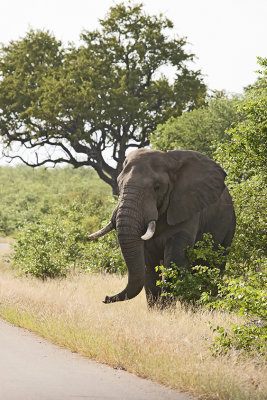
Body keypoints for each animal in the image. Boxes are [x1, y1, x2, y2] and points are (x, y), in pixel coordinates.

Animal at [90, 149, 237, 306]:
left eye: (157, 187)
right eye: (119, 184)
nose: (106, 298)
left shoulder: (186, 208)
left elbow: (174, 259)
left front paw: (167, 307)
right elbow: (148, 264)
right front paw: (157, 309)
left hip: (229, 226)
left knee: (215, 265)